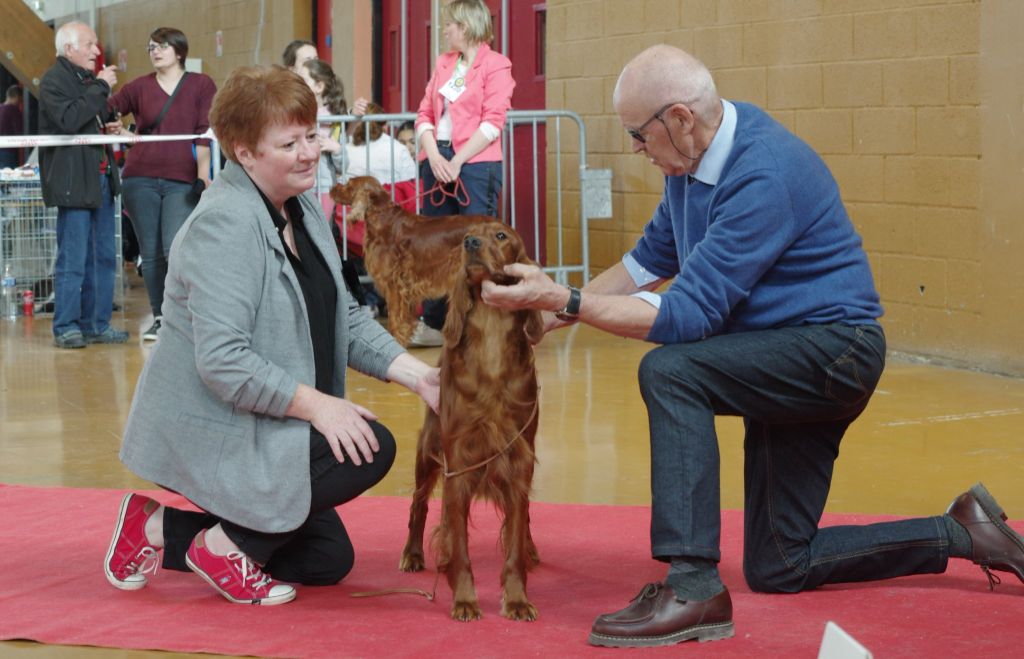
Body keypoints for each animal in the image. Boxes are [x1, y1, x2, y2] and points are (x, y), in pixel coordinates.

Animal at [397, 223, 544, 622]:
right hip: (428, 451)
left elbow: (513, 542)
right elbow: (459, 545)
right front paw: (464, 599)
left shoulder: (519, 461)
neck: (491, 340)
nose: (471, 243)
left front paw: (518, 599)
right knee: (419, 504)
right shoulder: (458, 465)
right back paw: (413, 554)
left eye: (501, 235)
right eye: (467, 234)